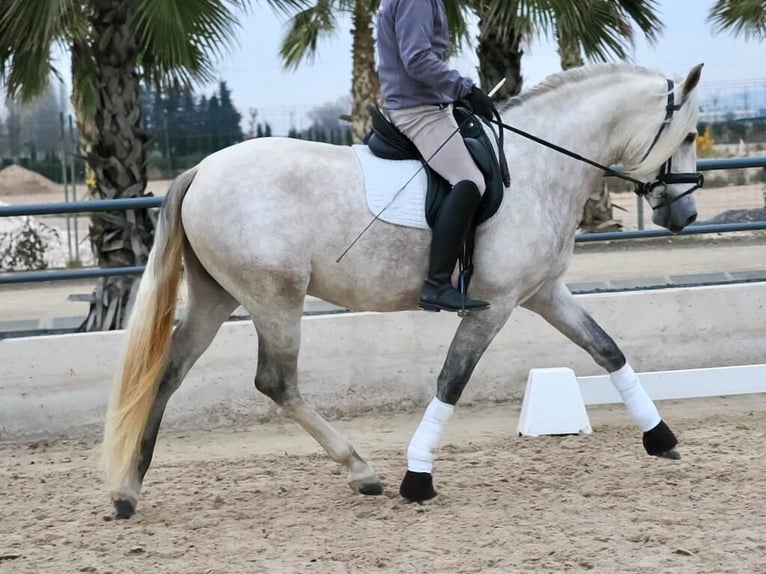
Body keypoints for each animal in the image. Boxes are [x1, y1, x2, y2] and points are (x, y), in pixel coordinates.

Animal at [103, 62, 708, 516]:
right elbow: (451, 380)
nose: (684, 216)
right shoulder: (494, 305)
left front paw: (661, 438)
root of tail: (202, 170)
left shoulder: (542, 293)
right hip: (276, 298)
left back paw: (129, 489)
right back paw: (361, 470)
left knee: (170, 369)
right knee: (276, 382)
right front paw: (417, 479)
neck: (541, 164)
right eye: (686, 136)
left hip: (217, 296)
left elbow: (607, 349)